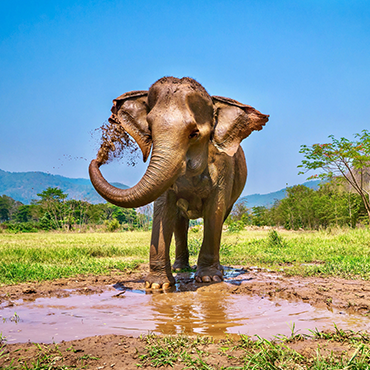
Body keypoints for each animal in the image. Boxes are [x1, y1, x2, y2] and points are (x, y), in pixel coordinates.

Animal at [89, 76, 268, 290]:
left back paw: (217, 270)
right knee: (179, 222)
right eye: (150, 131)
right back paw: (180, 268)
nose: (99, 157)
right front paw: (156, 286)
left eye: (194, 134)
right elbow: (163, 207)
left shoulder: (224, 167)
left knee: (220, 216)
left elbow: (214, 211)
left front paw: (208, 279)